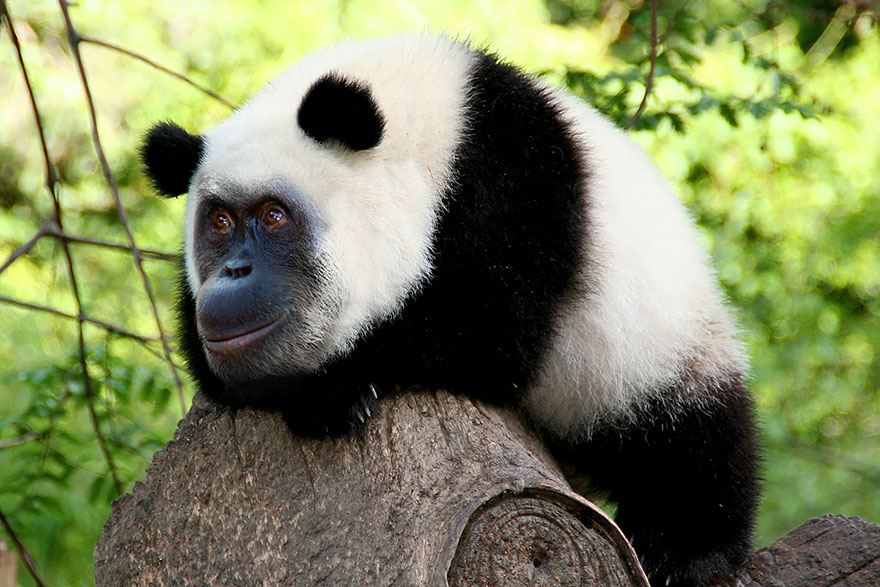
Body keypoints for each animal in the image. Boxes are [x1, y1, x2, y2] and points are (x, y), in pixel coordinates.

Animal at [141, 35, 759, 587]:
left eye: (274, 215)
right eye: (219, 222)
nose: (233, 274)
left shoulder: (516, 192)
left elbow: (488, 330)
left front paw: (332, 389)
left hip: (657, 341)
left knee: (689, 442)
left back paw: (683, 551)